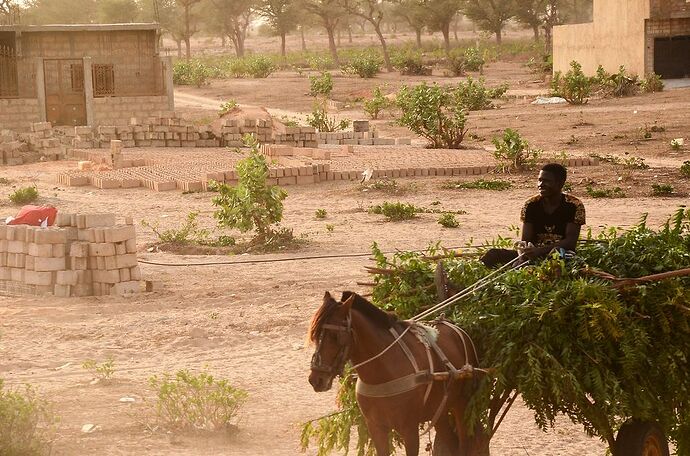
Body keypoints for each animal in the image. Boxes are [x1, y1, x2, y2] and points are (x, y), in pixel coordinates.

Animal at [306, 292, 478, 456]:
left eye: (335, 336)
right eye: (315, 336)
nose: (316, 379)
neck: (383, 374)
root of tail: (456, 329)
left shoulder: (409, 430)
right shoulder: (376, 428)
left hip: (460, 403)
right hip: (439, 412)